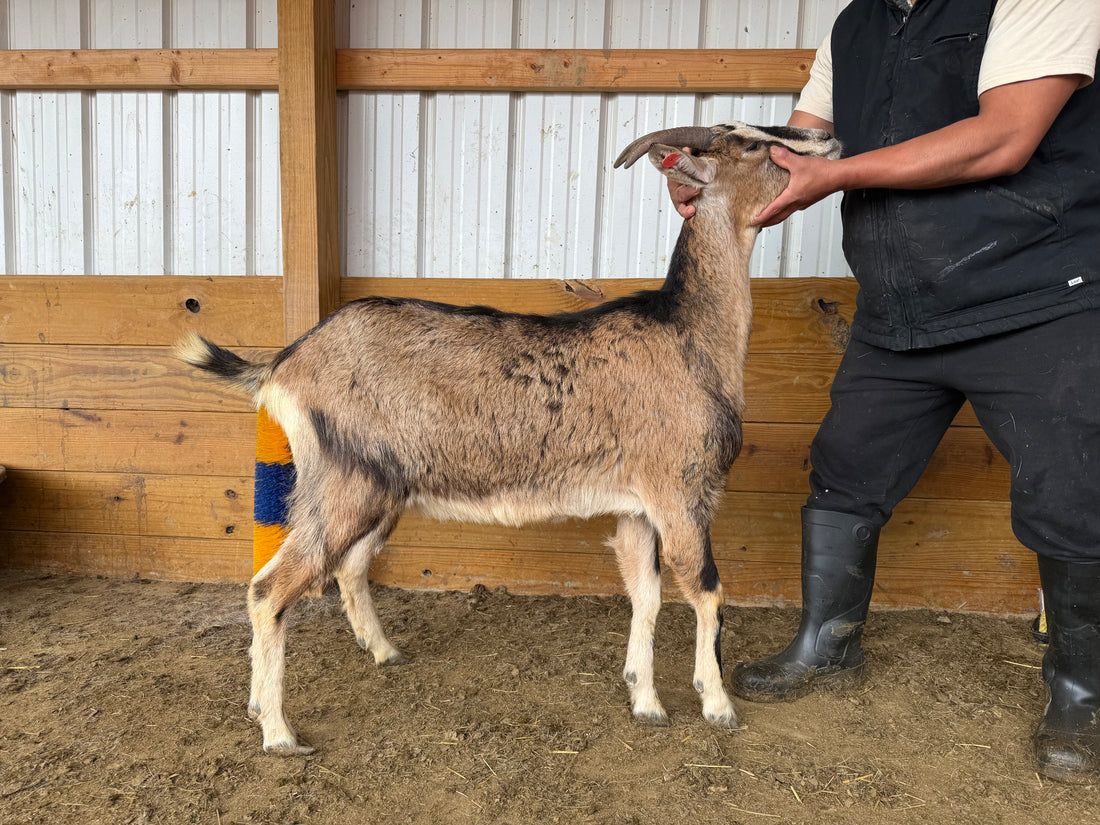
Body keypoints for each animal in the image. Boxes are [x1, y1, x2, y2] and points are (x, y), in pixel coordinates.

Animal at [178, 122, 842, 755]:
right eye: (753, 145)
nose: (825, 138)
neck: (686, 333)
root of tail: (284, 364)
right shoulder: (682, 490)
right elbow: (705, 587)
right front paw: (718, 704)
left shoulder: (637, 505)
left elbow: (646, 592)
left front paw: (645, 700)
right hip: (345, 481)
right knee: (270, 588)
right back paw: (277, 731)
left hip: (378, 488)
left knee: (348, 565)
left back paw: (380, 654)